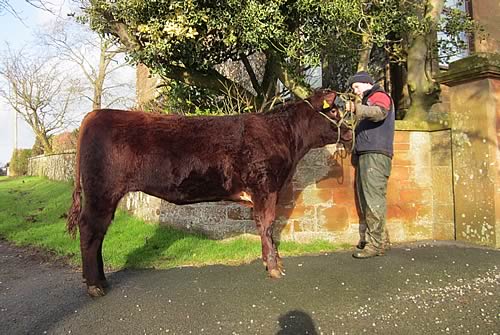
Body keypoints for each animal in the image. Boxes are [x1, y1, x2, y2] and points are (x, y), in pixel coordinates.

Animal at [68, 89, 354, 296]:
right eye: (334, 110)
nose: (351, 132)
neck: (284, 136)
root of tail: (94, 115)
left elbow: (267, 226)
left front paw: (274, 262)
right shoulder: (265, 187)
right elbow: (267, 224)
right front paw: (273, 267)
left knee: (97, 234)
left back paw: (100, 280)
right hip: (101, 193)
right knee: (90, 230)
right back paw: (95, 285)